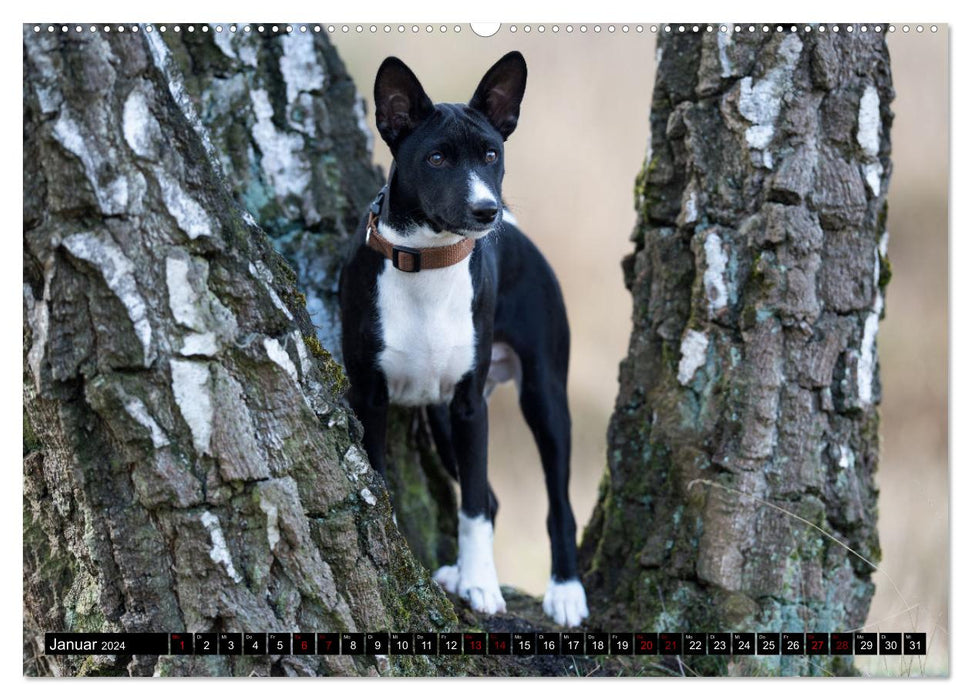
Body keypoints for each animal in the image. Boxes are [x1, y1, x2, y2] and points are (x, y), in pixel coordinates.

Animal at [338, 52, 588, 628]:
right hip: (440, 420)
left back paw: (565, 592)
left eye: (492, 154)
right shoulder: (371, 395)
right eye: (435, 158)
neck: (427, 264)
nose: (486, 210)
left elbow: (472, 506)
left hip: (542, 394)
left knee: (557, 506)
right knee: (495, 500)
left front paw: (483, 586)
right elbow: (382, 481)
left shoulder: (471, 405)